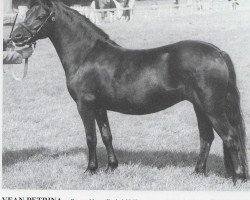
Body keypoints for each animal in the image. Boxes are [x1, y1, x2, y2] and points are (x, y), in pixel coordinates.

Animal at [11, 0, 248, 183]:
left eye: (41, 16)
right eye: (26, 13)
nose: (16, 36)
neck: (87, 55)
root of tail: (217, 52)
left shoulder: (84, 105)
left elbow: (91, 137)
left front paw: (90, 170)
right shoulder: (99, 106)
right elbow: (106, 135)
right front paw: (111, 167)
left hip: (211, 107)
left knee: (230, 136)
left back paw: (237, 177)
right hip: (200, 106)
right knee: (206, 137)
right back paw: (198, 173)